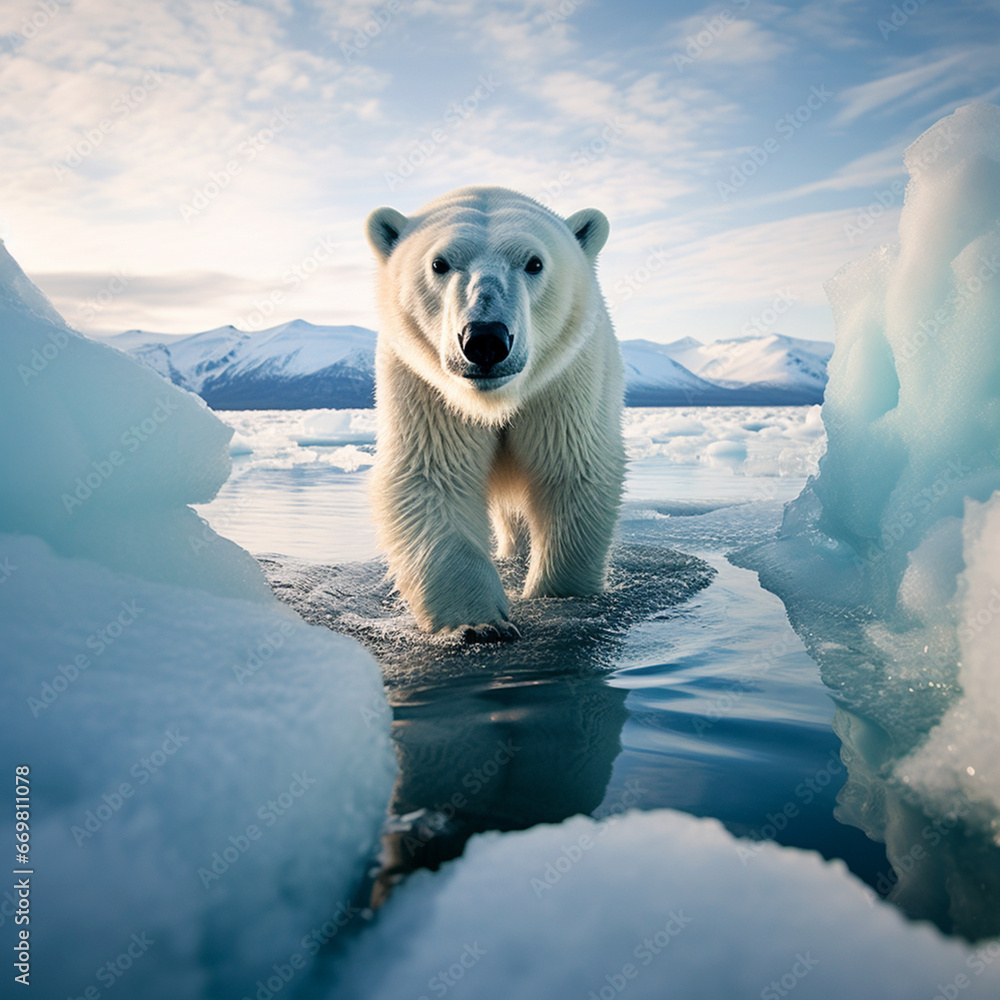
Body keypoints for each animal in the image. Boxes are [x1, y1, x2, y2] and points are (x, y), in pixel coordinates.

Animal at [364, 187, 620, 640]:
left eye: (534, 262)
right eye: (439, 263)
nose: (484, 339)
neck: (495, 400)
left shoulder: (566, 380)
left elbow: (572, 470)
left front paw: (558, 597)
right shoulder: (427, 386)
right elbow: (434, 475)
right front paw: (479, 623)